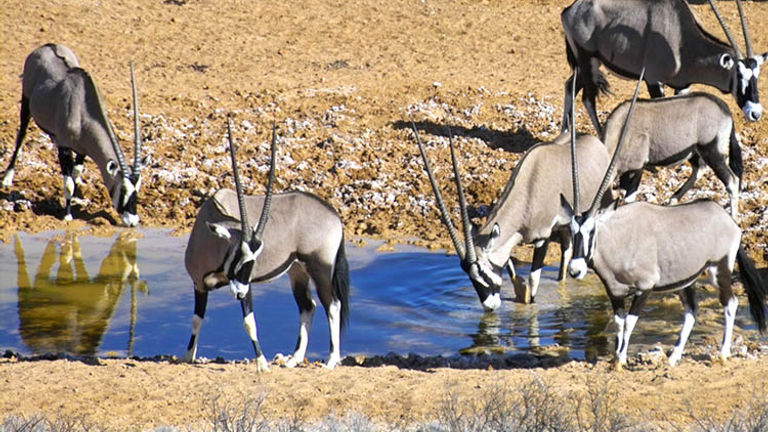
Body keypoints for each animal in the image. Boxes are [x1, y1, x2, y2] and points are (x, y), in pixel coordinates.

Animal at [2, 44, 148, 226]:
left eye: (138, 188)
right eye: (122, 190)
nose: (133, 221)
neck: (81, 110)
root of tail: (46, 46)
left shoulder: (82, 150)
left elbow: (76, 173)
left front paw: (76, 199)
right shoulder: (64, 147)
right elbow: (69, 183)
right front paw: (67, 215)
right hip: (26, 102)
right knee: (21, 134)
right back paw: (7, 178)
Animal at [182, 120, 350, 372]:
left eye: (253, 259)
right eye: (239, 255)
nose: (239, 293)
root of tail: (334, 216)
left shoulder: (247, 286)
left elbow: (249, 322)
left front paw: (262, 364)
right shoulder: (199, 285)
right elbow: (196, 320)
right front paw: (187, 356)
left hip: (319, 268)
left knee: (332, 305)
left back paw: (330, 360)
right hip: (297, 271)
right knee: (307, 306)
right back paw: (294, 359)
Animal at [560, 0, 764, 134]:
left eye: (756, 76)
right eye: (738, 75)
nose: (756, 113)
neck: (682, 41)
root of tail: (569, 10)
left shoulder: (682, 86)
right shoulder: (653, 81)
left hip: (587, 66)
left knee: (570, 86)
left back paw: (563, 133)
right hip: (588, 60)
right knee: (587, 99)